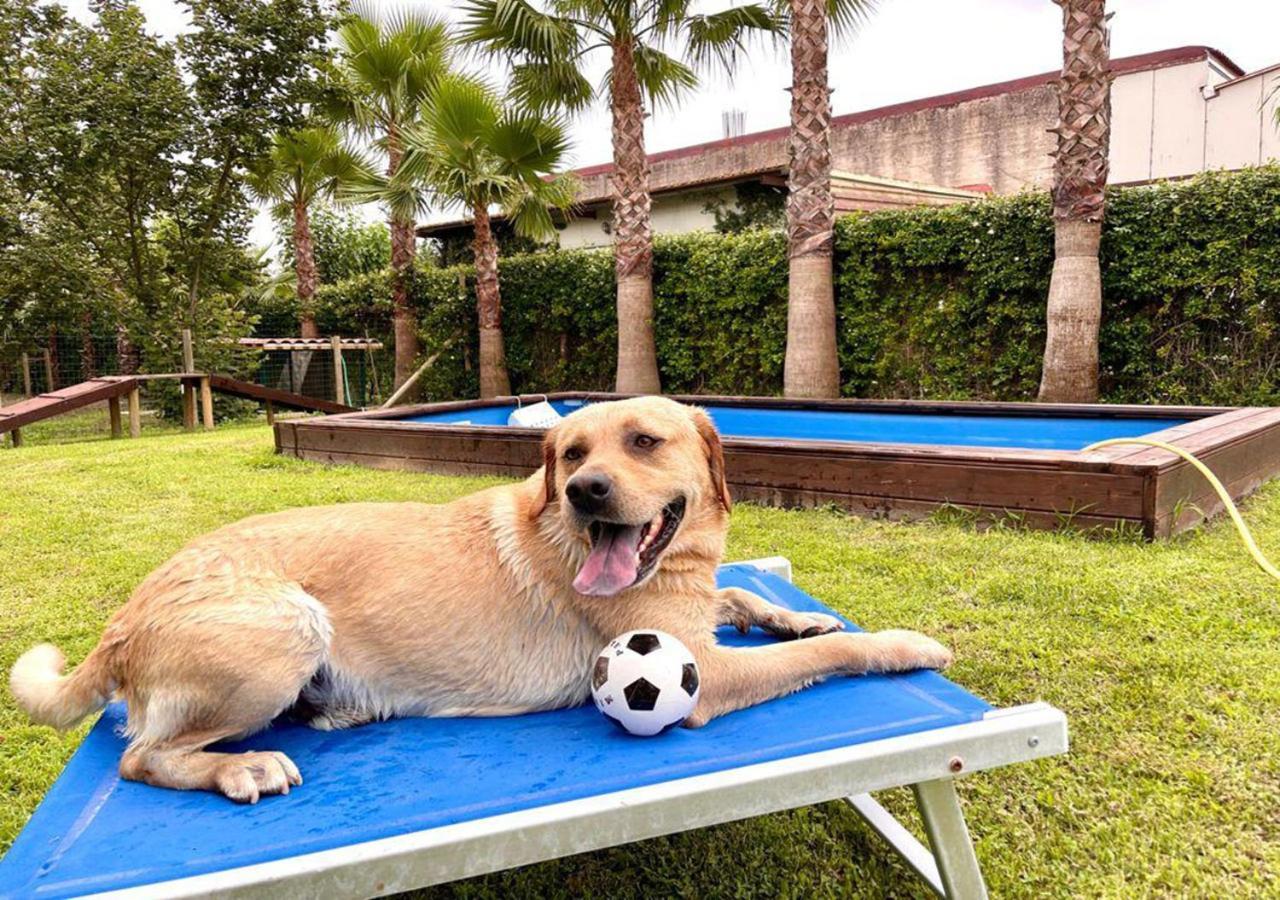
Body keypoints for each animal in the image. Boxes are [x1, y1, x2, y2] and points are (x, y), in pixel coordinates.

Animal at [10, 396, 952, 803]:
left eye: (644, 442)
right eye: (570, 454)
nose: (585, 493)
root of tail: (123, 621)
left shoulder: (694, 618)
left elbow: (747, 596)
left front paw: (798, 610)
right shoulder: (703, 679)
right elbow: (829, 651)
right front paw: (900, 643)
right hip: (285, 625)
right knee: (140, 758)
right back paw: (239, 766)